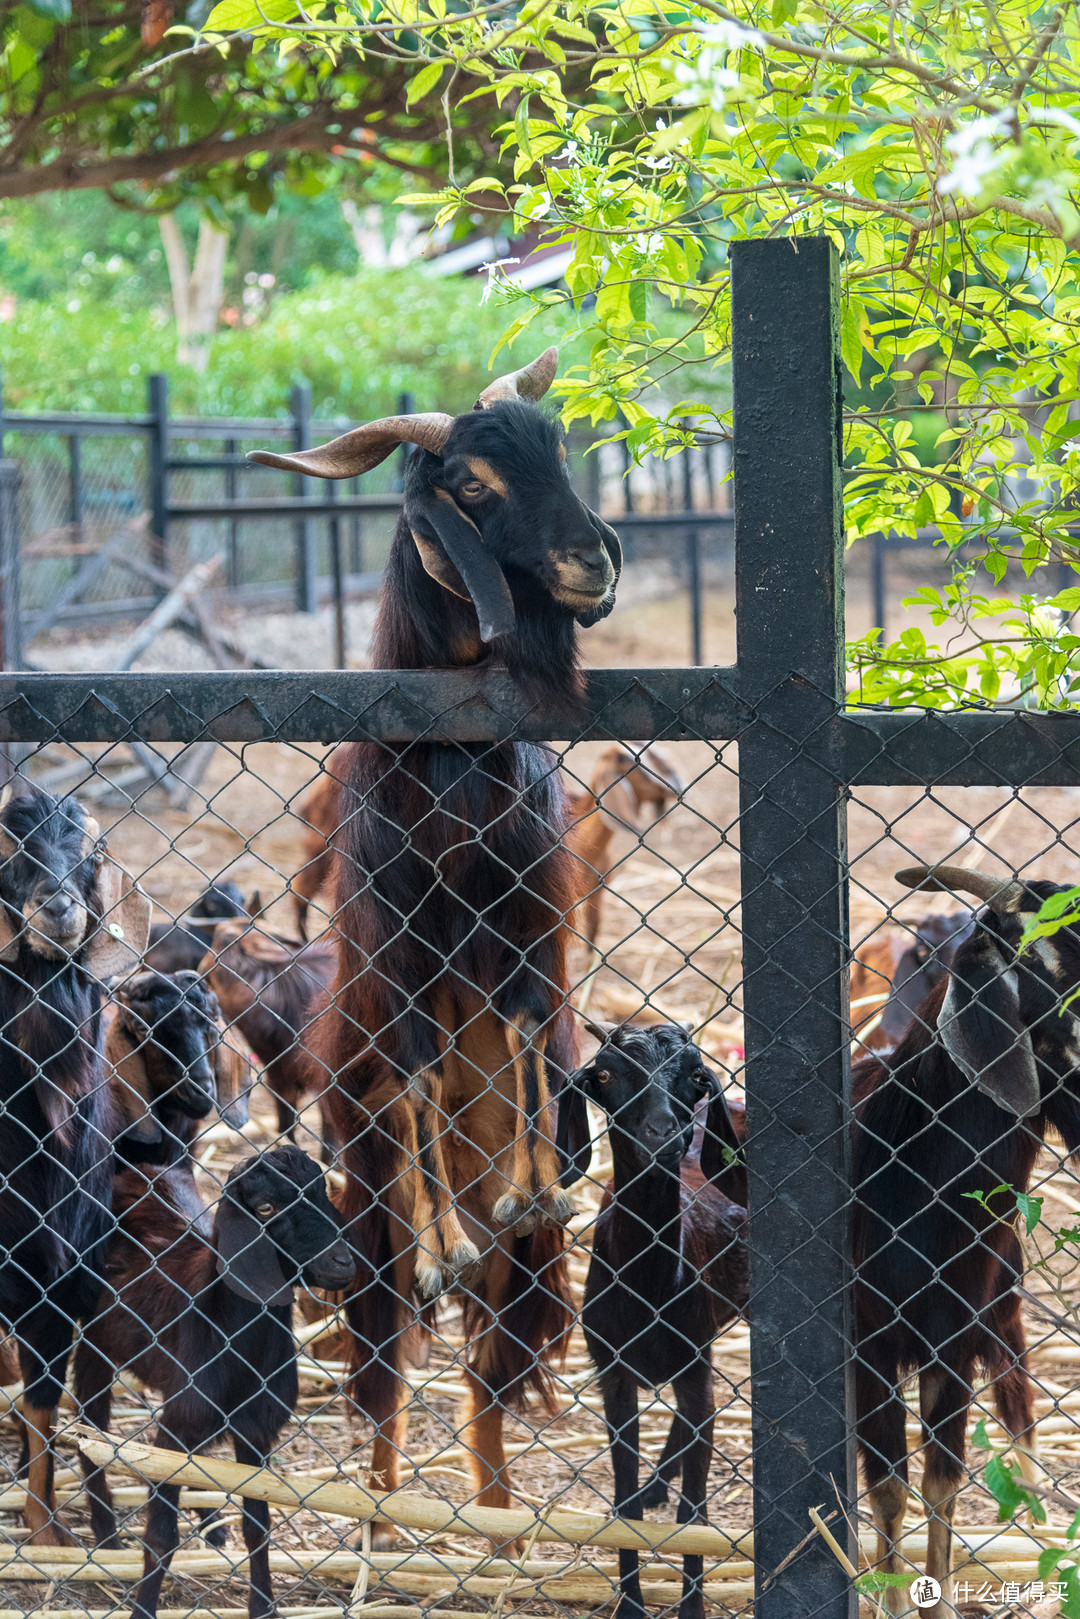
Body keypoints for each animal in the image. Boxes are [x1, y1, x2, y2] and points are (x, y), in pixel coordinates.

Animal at [76, 1146, 354, 1619]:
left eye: (322, 1190)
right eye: (265, 1208)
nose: (344, 1261)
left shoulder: (256, 1428)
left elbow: (258, 1525)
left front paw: (263, 1607)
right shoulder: (176, 1427)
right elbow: (161, 1536)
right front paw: (143, 1609)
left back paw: (210, 1525)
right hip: (93, 1341)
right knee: (88, 1428)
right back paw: (106, 1533)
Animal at [247, 348, 615, 1521]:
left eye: (556, 449)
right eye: (471, 485)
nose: (592, 560)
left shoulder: (529, 925)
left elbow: (534, 1027)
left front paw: (541, 1179)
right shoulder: (400, 954)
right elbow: (412, 1075)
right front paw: (444, 1240)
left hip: (521, 1264)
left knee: (488, 1371)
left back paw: (496, 1518)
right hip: (361, 1219)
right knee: (386, 1368)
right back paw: (386, 1494)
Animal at [557, 1023, 744, 1619]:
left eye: (696, 1075)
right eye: (605, 1073)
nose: (663, 1131)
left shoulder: (694, 1365)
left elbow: (694, 1517)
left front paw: (691, 1609)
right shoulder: (612, 1376)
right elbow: (624, 1507)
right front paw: (632, 1605)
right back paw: (657, 1483)